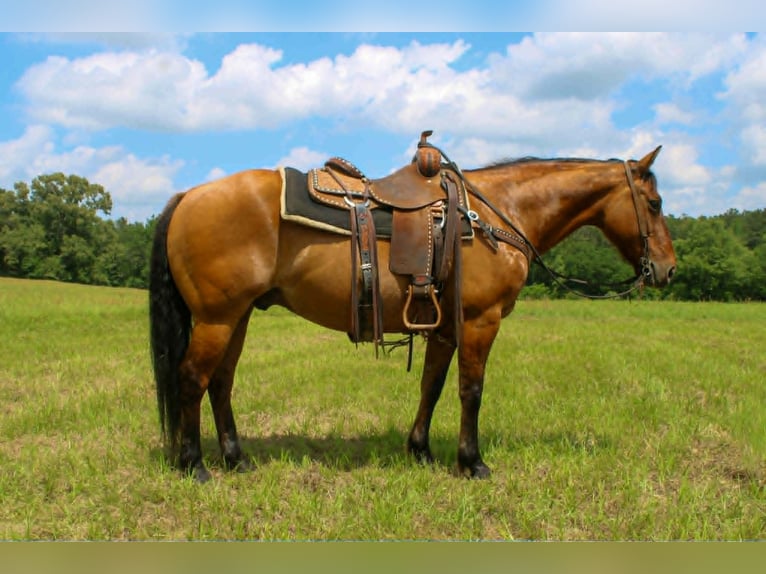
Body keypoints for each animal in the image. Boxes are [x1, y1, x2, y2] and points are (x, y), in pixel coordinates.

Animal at [149, 144, 676, 482]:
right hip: (218, 318)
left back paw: (235, 460)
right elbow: (470, 390)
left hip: (236, 317)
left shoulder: (443, 326)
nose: (667, 269)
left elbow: (433, 386)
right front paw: (472, 462)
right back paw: (194, 465)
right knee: (193, 379)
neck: (494, 215)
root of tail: (188, 195)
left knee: (220, 383)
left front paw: (420, 452)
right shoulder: (480, 321)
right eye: (653, 202)